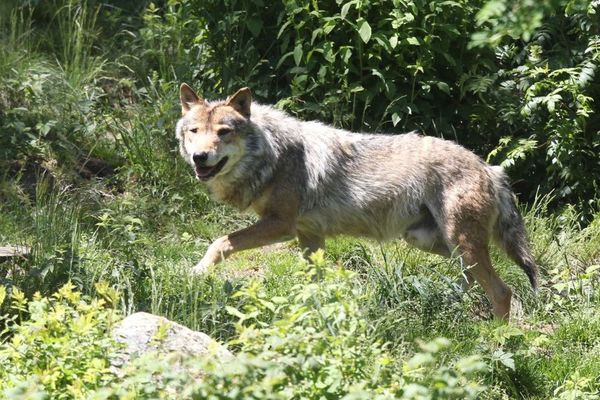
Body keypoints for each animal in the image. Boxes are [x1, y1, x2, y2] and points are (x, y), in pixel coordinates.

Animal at [175, 83, 540, 320]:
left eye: (223, 132)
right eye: (194, 131)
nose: (200, 157)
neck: (271, 154)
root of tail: (490, 168)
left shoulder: (281, 225)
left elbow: (221, 242)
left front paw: (195, 273)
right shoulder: (309, 235)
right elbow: (313, 282)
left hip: (458, 242)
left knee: (502, 292)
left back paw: (495, 340)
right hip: (432, 241)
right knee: (471, 279)